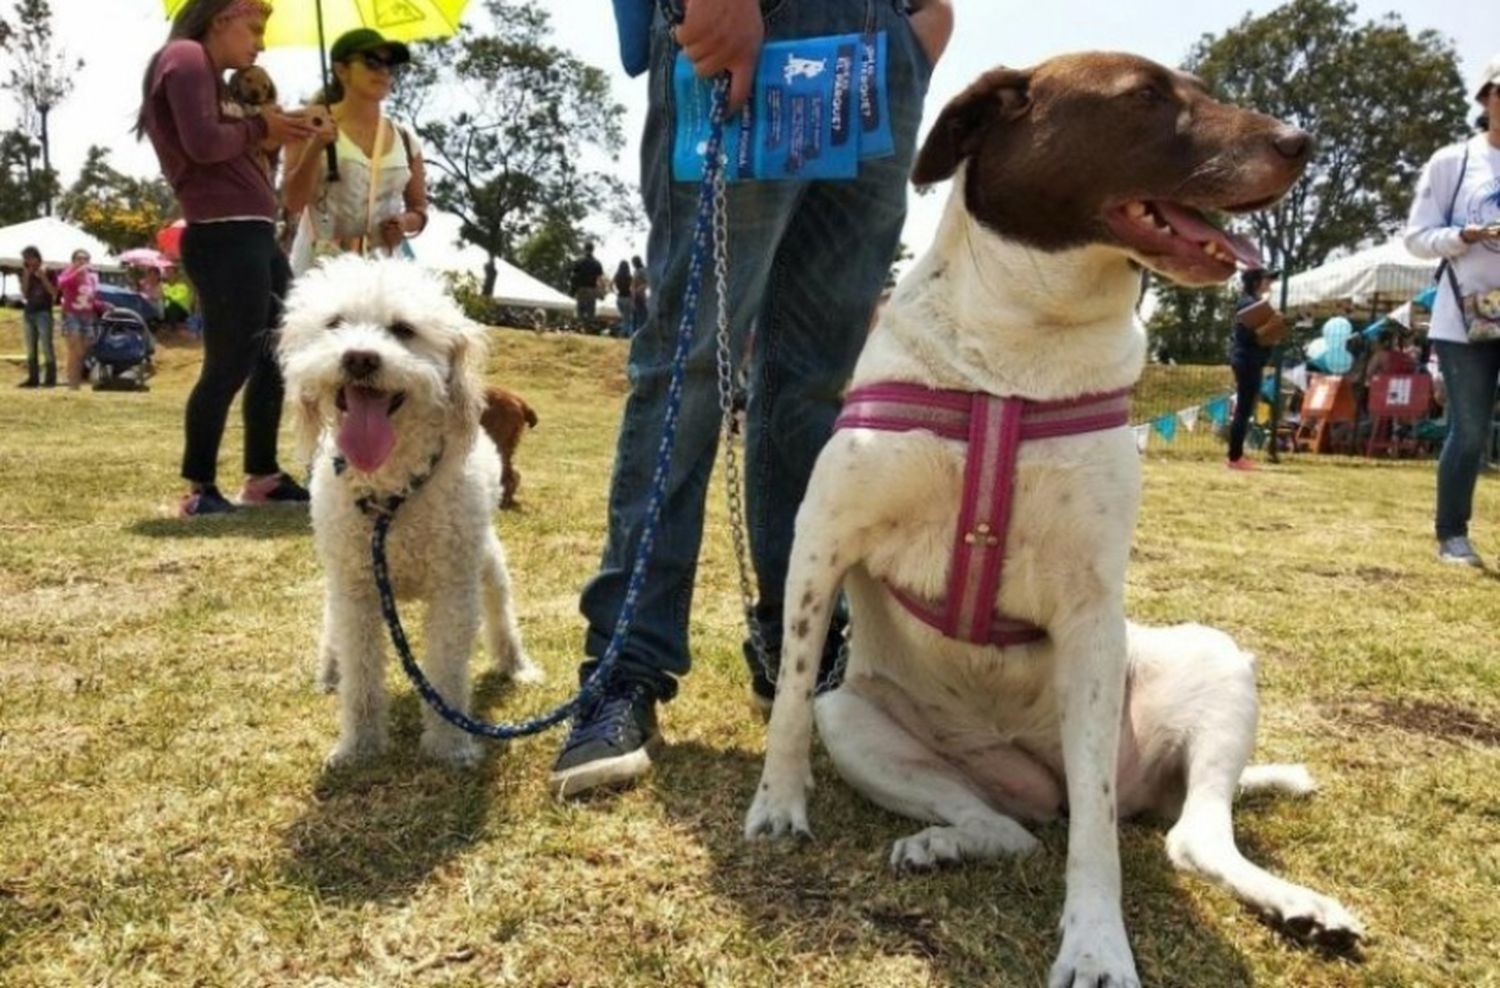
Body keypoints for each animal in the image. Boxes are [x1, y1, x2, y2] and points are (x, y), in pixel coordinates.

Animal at [279, 254, 543, 773]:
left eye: (403, 329)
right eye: (334, 324)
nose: (360, 358)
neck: (390, 492)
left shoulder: (453, 591)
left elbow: (445, 672)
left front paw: (449, 745)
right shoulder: (356, 587)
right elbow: (361, 675)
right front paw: (358, 747)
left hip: (488, 565)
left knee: (501, 615)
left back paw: (517, 665)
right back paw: (329, 669)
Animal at [744, 56, 1368, 988]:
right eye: (1146, 97)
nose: (1302, 141)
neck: (1018, 356)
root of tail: (1036, 780)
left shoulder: (1089, 613)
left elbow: (1097, 849)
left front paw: (1097, 945)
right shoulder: (822, 542)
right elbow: (786, 693)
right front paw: (778, 805)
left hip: (1210, 665)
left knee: (1184, 836)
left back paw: (1300, 905)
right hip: (854, 719)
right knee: (1005, 826)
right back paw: (945, 842)